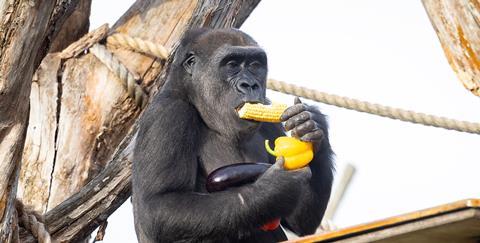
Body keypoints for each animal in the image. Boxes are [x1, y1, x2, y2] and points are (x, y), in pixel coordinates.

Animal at [131, 29, 334, 243]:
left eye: (255, 65)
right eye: (232, 65)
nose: (250, 85)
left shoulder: (269, 112)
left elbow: (299, 222)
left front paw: (311, 127)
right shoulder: (168, 115)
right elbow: (160, 205)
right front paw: (273, 190)